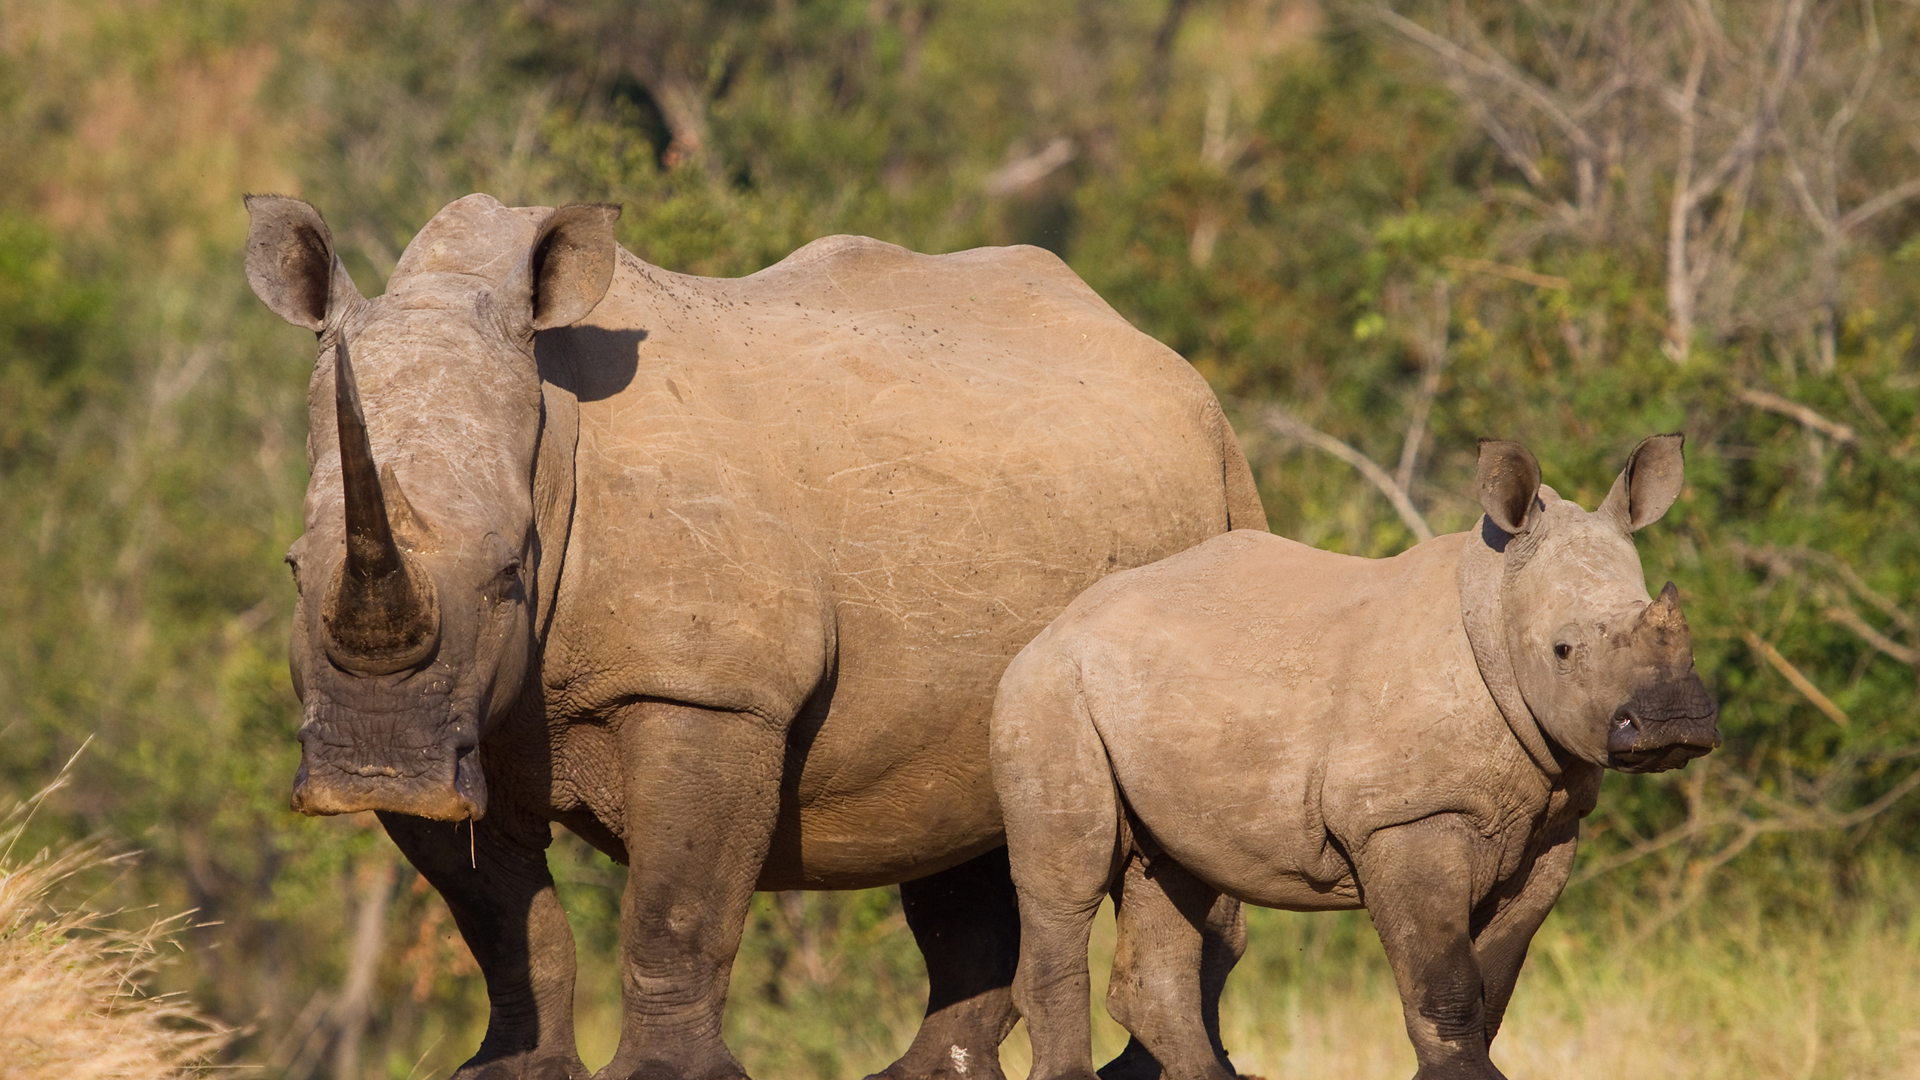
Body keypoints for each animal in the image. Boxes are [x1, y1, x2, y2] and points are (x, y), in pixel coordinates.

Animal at [243, 192, 1266, 1080]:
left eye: (507, 575)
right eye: (293, 567)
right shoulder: (459, 718)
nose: (374, 771)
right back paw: (924, 1075)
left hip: (1213, 500)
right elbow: (503, 922)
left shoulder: (710, 689)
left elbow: (674, 909)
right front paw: (509, 1072)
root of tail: (1176, 367)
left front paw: (664, 1077)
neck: (553, 427)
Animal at [992, 435, 1720, 1080]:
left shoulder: (1553, 825)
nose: (1673, 724)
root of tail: (1057, 624)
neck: (1494, 606)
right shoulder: (1405, 818)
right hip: (1047, 688)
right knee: (1069, 885)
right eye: (1563, 651)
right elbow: (1446, 981)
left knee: (1172, 871)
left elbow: (1495, 982)